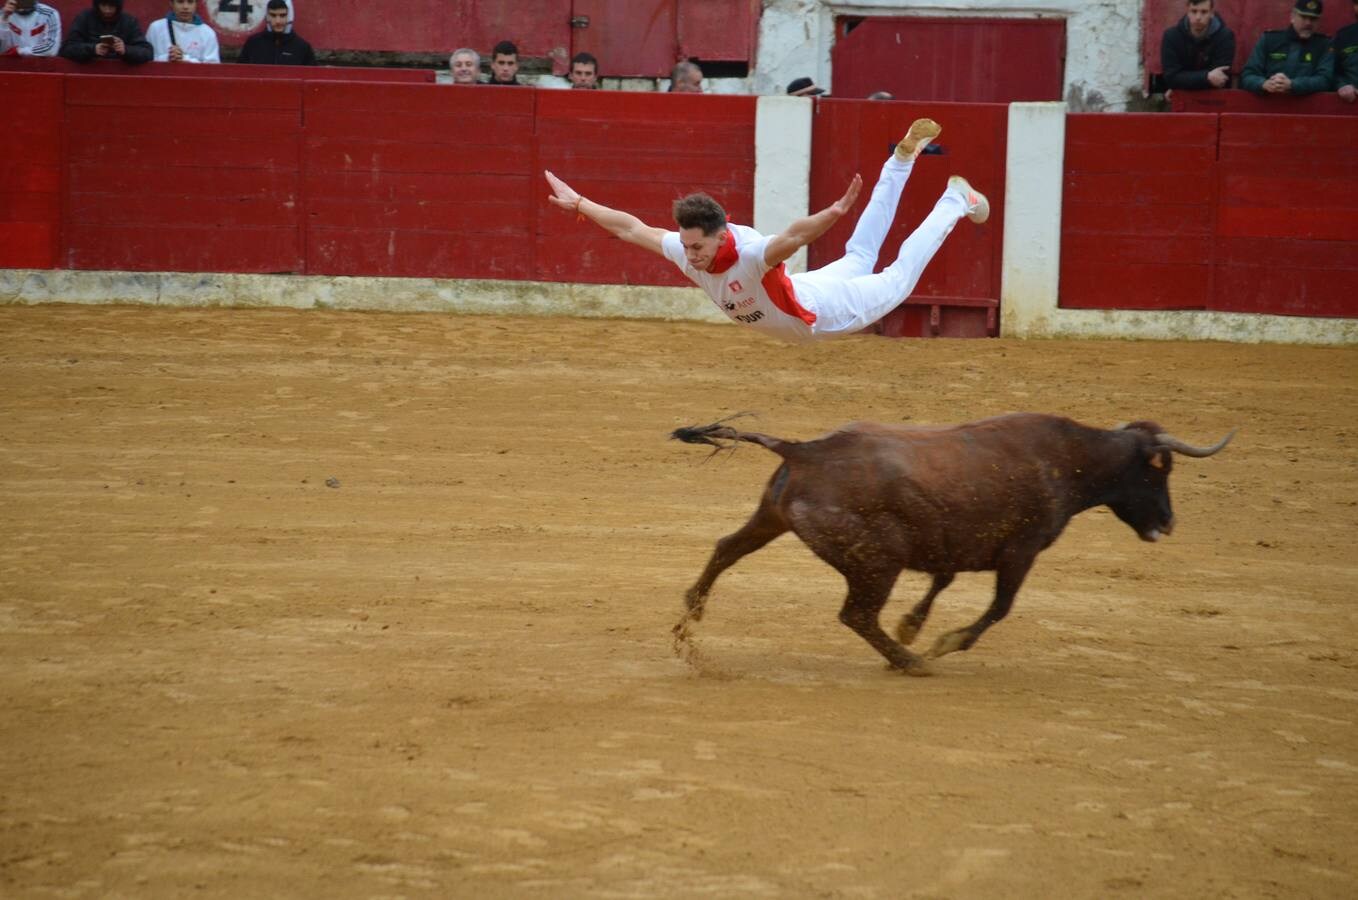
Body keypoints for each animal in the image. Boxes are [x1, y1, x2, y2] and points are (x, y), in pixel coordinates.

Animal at [673, 412, 1238, 673]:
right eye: (1160, 470)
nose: (1168, 523)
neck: (1068, 460)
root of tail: (805, 450)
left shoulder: (951, 543)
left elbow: (942, 579)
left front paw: (914, 624)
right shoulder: (1022, 549)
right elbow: (1000, 607)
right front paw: (942, 642)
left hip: (772, 518)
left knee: (725, 548)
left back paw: (687, 624)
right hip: (879, 560)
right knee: (856, 615)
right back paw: (910, 661)